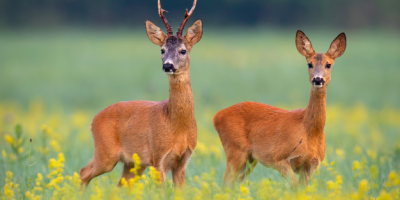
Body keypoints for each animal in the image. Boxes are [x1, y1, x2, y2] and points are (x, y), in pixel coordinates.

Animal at [80, 0, 203, 188]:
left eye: (183, 50)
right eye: (162, 50)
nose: (168, 65)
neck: (176, 125)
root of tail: (93, 120)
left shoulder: (183, 161)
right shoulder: (158, 157)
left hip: (132, 163)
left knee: (119, 185)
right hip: (105, 153)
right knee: (83, 172)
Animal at [212, 30, 346, 188]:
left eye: (328, 65)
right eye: (309, 64)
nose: (317, 79)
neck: (309, 131)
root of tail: (216, 116)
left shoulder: (311, 164)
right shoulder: (280, 158)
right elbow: (294, 187)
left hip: (250, 158)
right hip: (235, 149)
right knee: (226, 183)